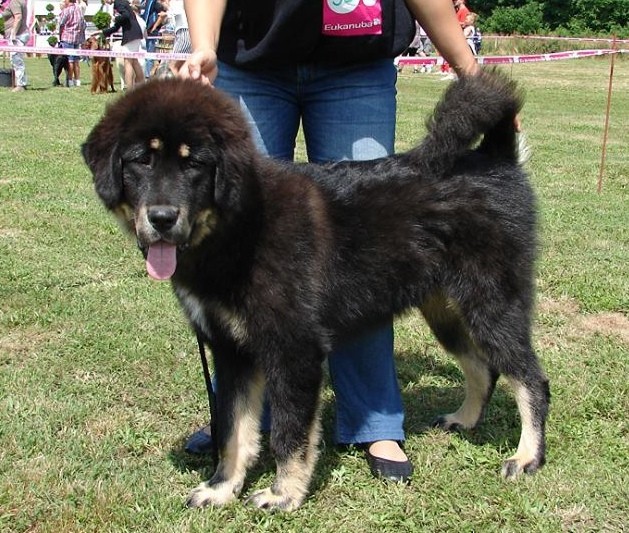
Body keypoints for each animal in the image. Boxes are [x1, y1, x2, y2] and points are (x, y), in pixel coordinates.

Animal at [83, 70, 550, 511]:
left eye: (193, 163)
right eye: (141, 160)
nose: (162, 218)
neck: (238, 227)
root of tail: (496, 156)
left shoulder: (295, 350)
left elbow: (288, 434)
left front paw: (283, 494)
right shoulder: (232, 350)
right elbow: (233, 430)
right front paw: (221, 488)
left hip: (491, 304)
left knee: (531, 378)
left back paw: (527, 457)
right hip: (446, 310)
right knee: (483, 368)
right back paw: (465, 420)